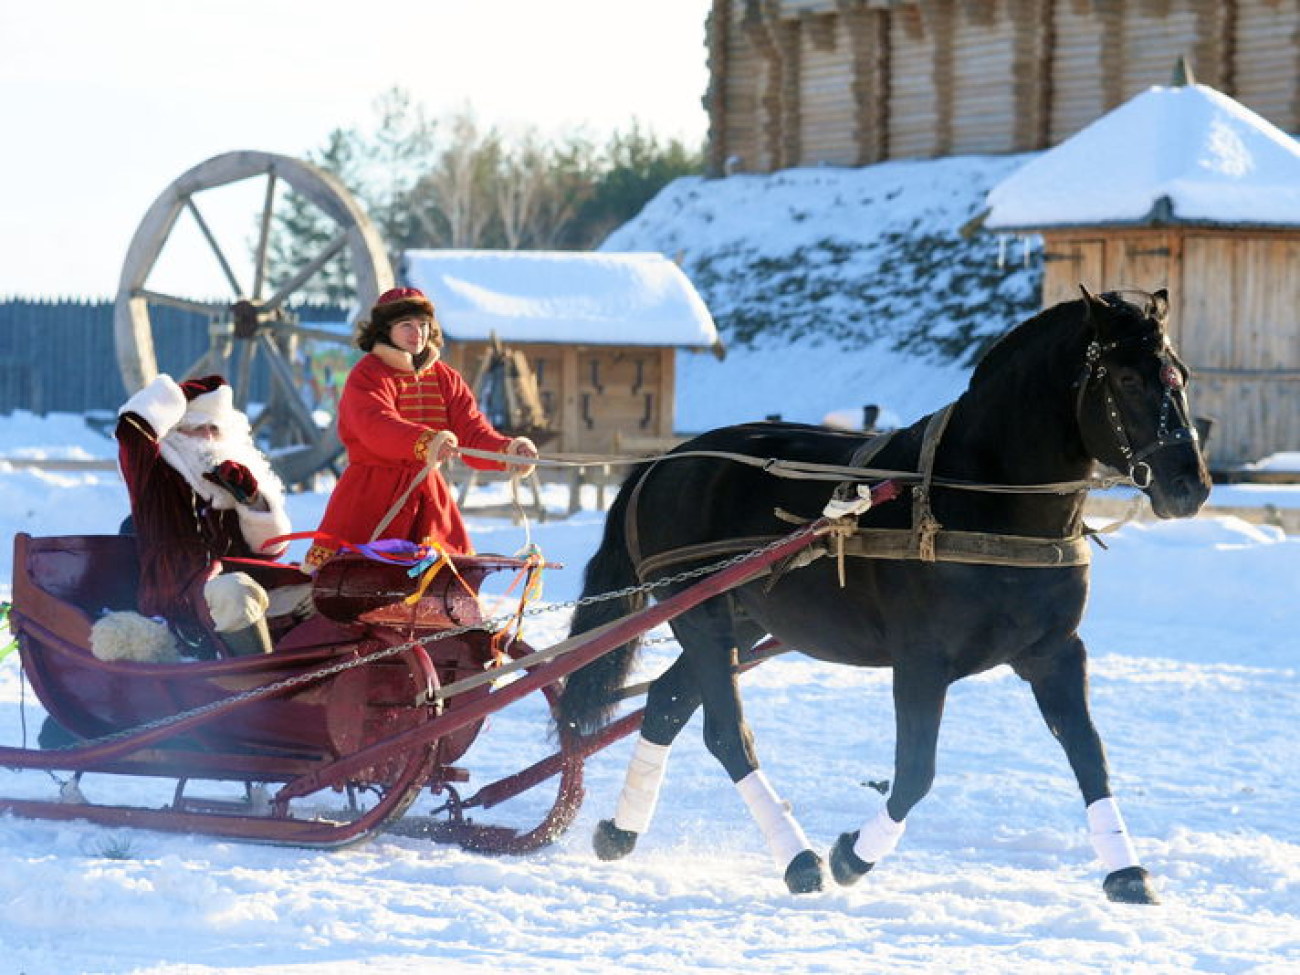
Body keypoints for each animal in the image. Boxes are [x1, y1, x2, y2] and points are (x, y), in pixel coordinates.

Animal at [556, 289, 1206, 909]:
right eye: (1127, 379)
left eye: (1180, 373)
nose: (1190, 486)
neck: (980, 496)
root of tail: (666, 461)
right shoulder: (921, 662)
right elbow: (915, 772)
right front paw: (852, 855)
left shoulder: (1056, 652)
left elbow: (1090, 756)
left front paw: (1126, 872)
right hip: (700, 614)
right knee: (725, 735)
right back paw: (798, 858)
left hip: (738, 619)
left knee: (666, 703)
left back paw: (620, 831)